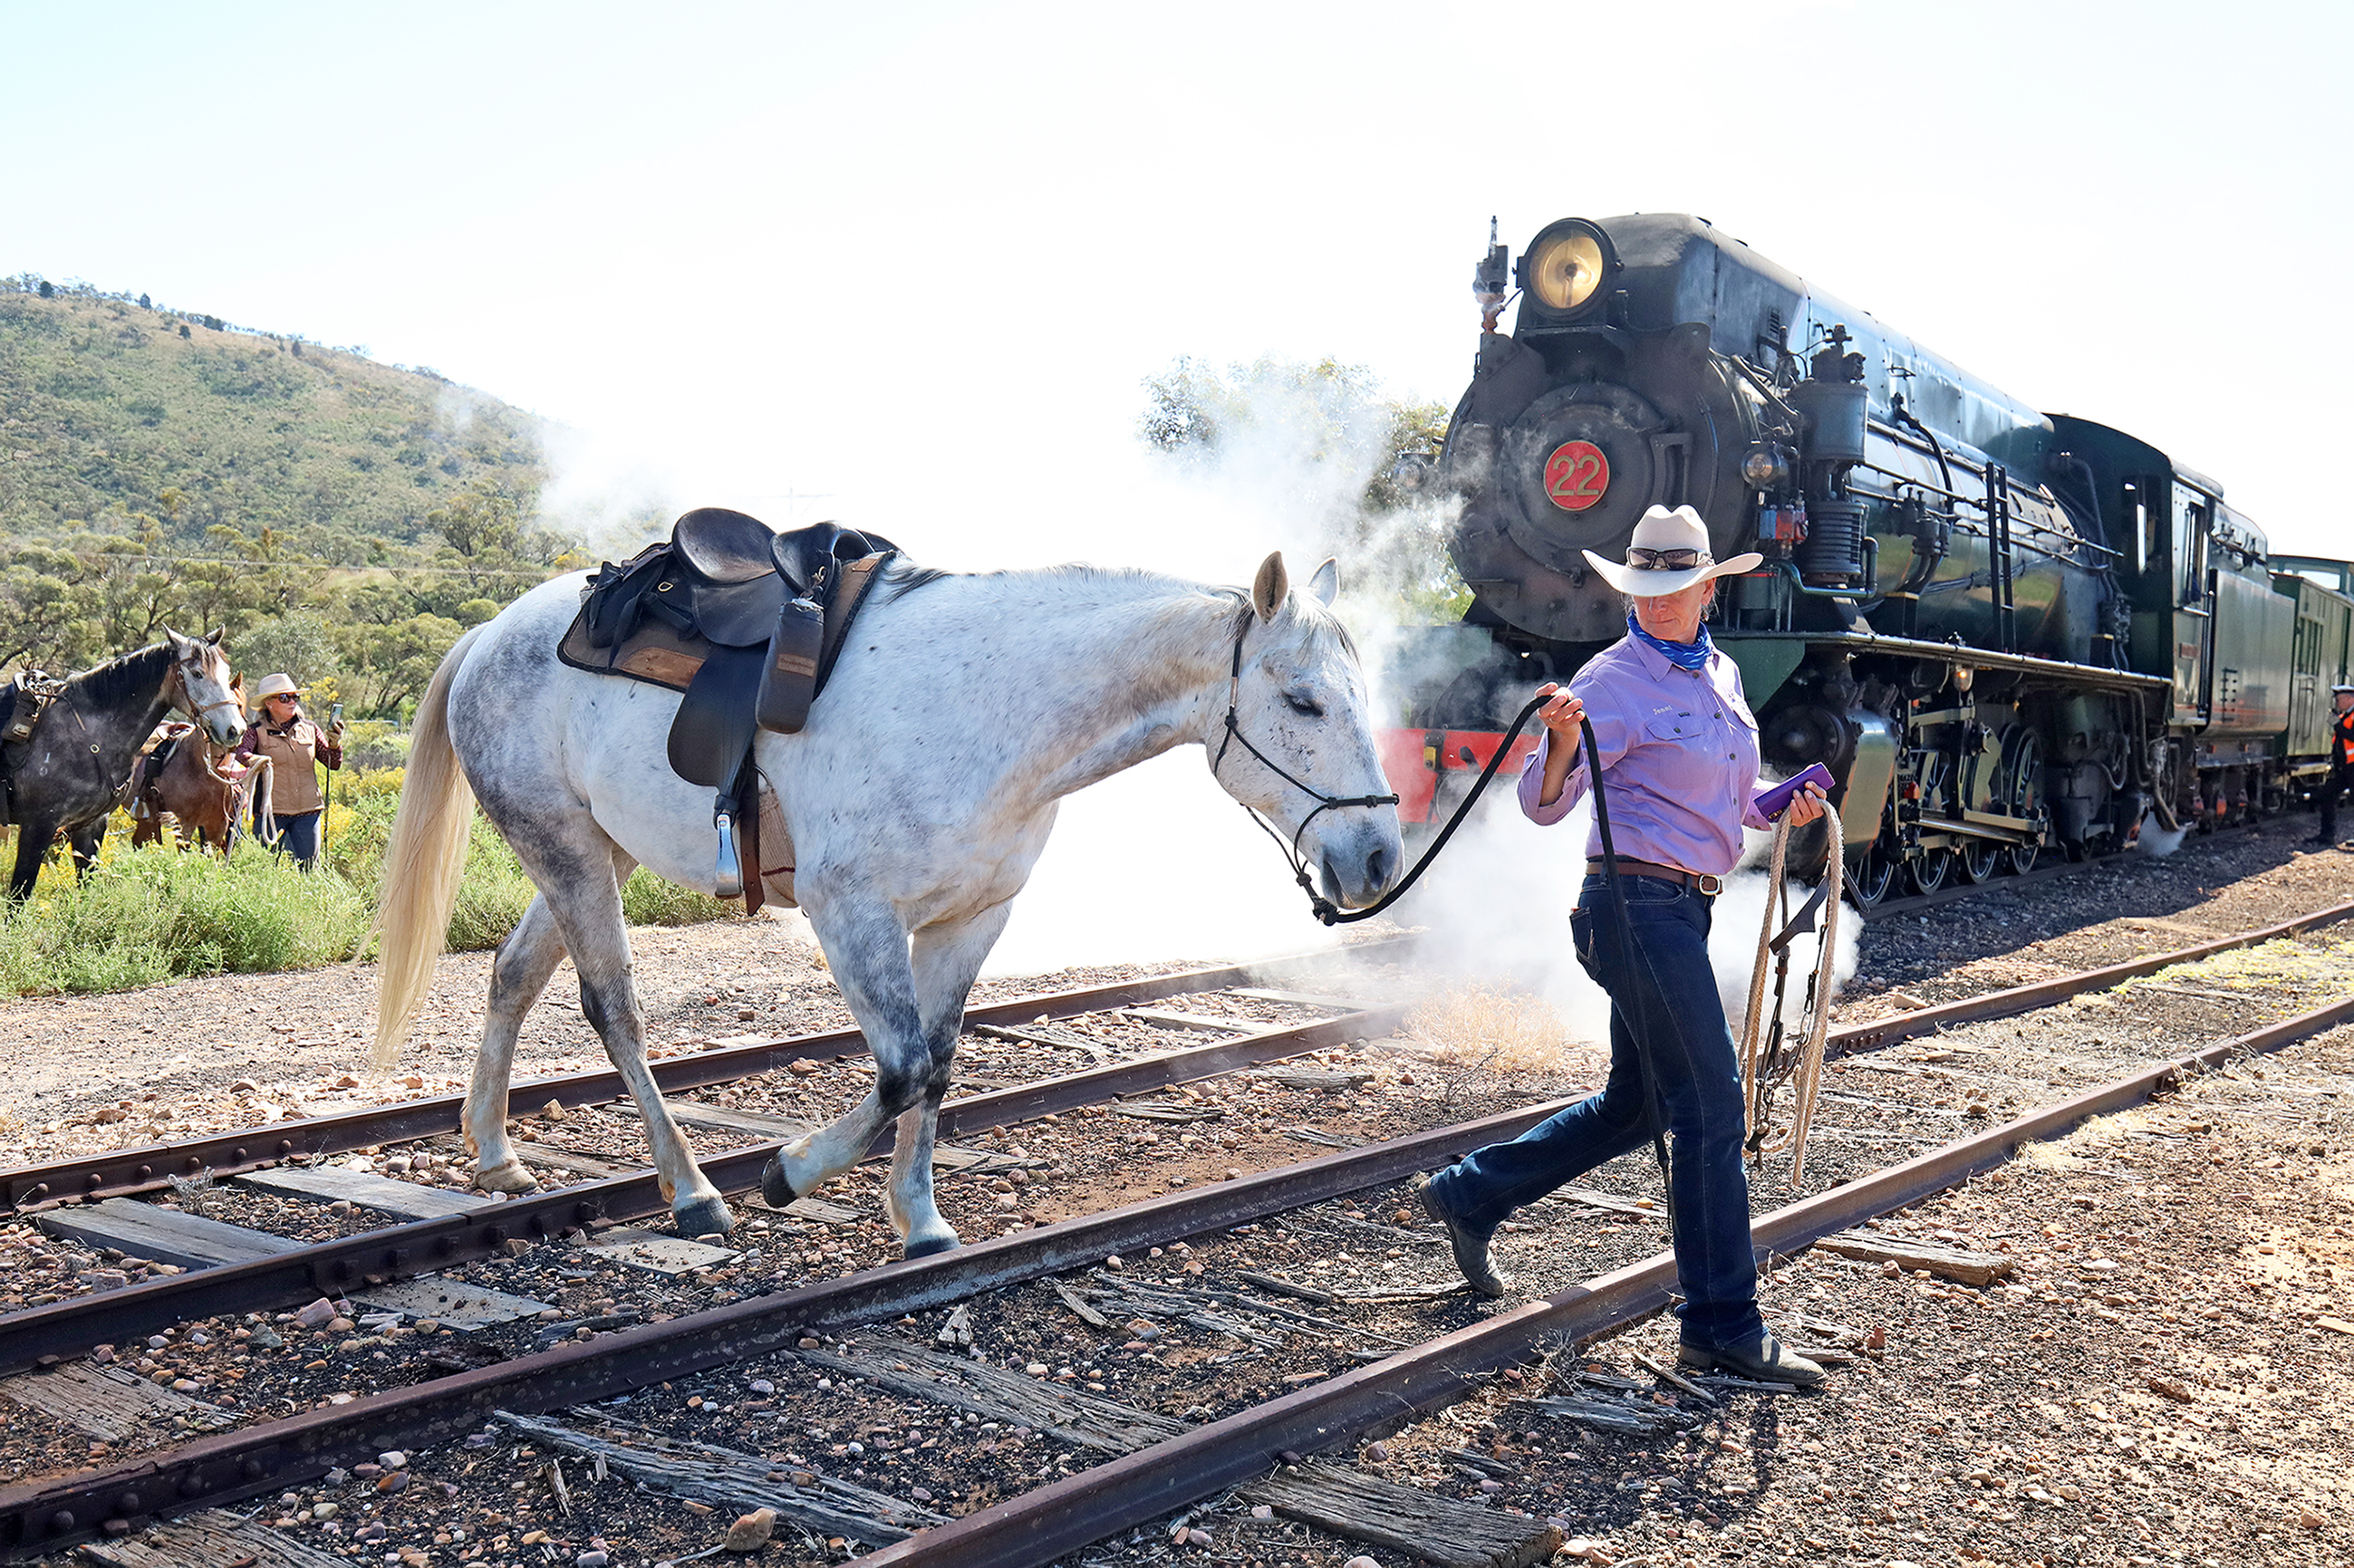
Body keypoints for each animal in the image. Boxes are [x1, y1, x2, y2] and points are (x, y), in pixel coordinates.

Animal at [4, 631, 248, 901]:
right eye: (197, 673)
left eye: (226, 672)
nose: (234, 730)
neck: (87, 736)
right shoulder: (38, 826)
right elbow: (19, 895)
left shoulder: (90, 825)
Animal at [372, 550, 1402, 1252]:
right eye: (1303, 701)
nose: (1379, 855)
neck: (987, 708)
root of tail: (490, 635)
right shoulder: (852, 914)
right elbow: (902, 1067)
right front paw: (788, 1172)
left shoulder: (971, 920)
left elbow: (938, 1065)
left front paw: (920, 1218)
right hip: (567, 849)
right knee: (612, 1006)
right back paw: (693, 1190)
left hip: (598, 850)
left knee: (514, 973)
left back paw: (495, 1149)